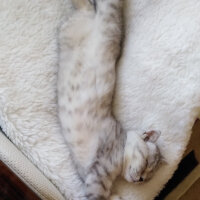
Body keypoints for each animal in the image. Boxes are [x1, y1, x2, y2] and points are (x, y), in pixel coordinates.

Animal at [57, 0, 161, 198]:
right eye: (146, 164)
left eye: (147, 179)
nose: (140, 179)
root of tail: (91, 18)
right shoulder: (99, 173)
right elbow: (97, 196)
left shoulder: (91, 177)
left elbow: (107, 196)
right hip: (110, 18)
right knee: (104, 4)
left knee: (85, 4)